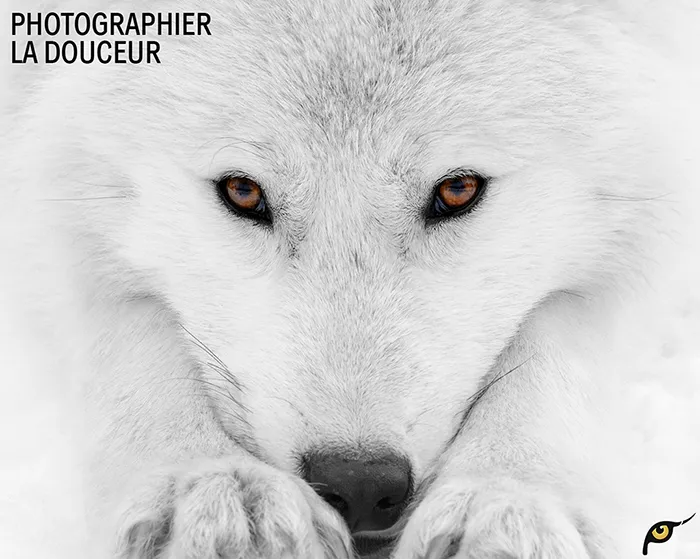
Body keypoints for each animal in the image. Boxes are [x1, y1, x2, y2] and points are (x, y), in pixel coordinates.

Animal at [1, 0, 699, 558]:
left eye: (458, 189)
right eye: (242, 191)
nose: (359, 485)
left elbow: (562, 340)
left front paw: (512, 501)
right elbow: (127, 327)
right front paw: (206, 485)